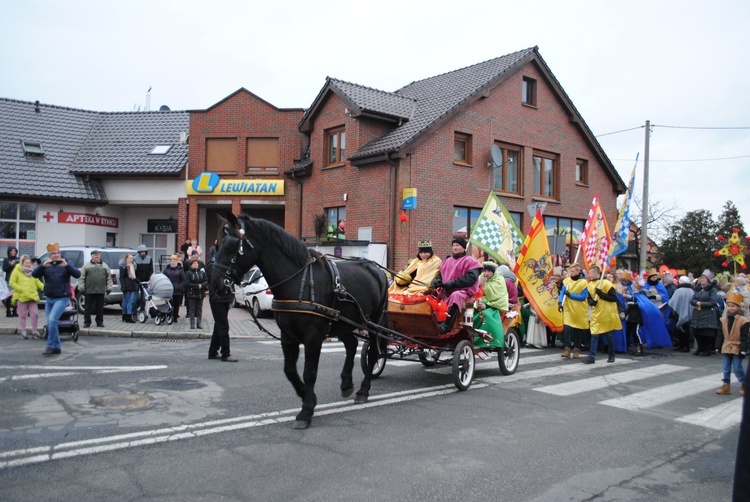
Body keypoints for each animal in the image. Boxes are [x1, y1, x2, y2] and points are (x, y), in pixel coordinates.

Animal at [212, 212, 388, 428]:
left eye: (232, 244)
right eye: (218, 244)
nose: (216, 284)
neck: (297, 281)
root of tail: (378, 270)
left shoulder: (313, 336)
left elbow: (309, 372)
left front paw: (305, 412)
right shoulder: (287, 335)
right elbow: (289, 370)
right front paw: (309, 398)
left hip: (373, 324)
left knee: (373, 353)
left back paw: (363, 390)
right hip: (343, 322)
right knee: (352, 344)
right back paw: (346, 384)